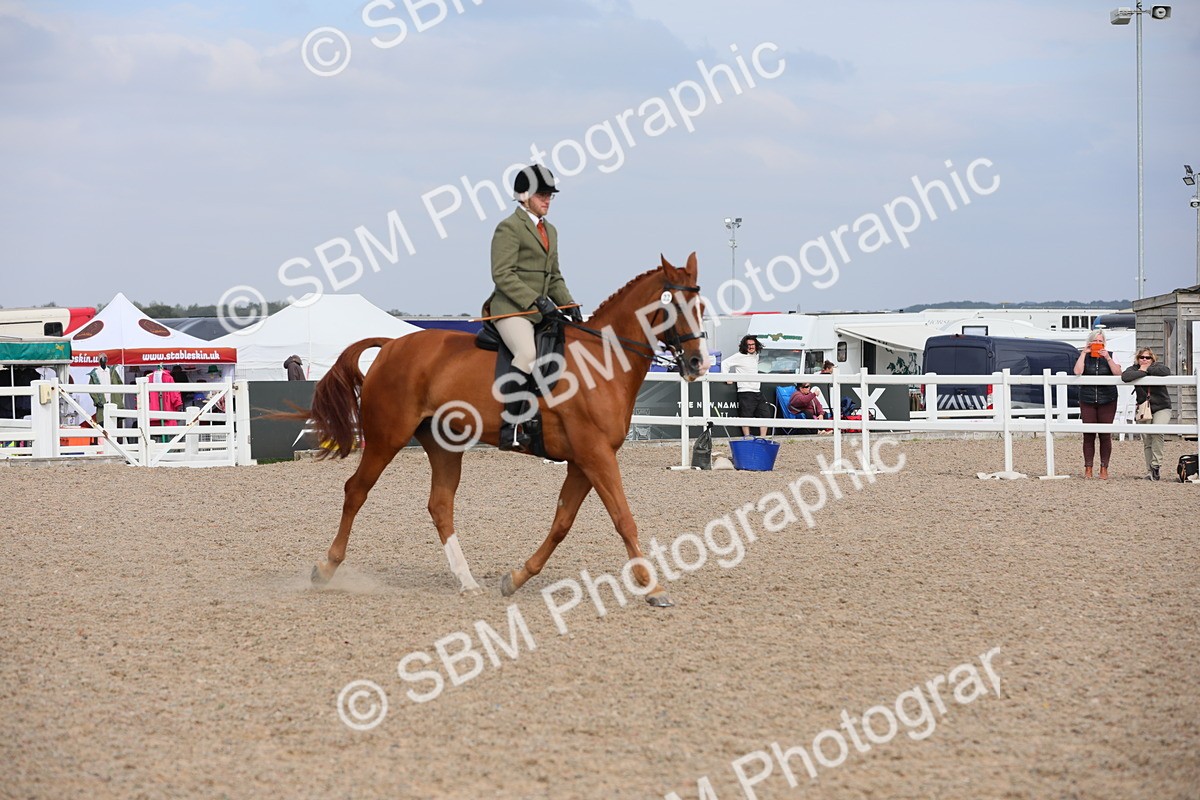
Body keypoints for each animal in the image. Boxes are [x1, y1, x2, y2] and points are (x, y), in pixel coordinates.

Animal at [288, 253, 710, 607]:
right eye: (673, 306)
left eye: (702, 308)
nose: (698, 363)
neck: (601, 362)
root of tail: (392, 344)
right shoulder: (596, 455)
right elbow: (623, 518)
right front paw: (653, 588)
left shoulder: (583, 461)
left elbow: (562, 523)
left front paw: (516, 578)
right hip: (385, 438)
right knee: (355, 491)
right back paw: (326, 568)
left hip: (444, 444)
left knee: (440, 505)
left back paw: (467, 581)